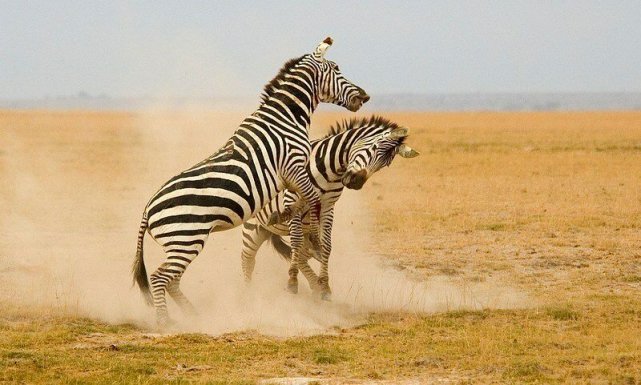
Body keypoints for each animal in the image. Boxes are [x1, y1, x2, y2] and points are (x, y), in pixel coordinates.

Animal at [132, 37, 368, 326]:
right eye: (336, 69)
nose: (364, 97)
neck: (286, 117)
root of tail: (147, 209)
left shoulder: (289, 177)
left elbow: (298, 203)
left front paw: (288, 221)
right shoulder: (294, 165)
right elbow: (311, 199)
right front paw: (313, 238)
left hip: (182, 243)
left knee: (171, 280)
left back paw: (193, 315)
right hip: (185, 239)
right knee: (159, 277)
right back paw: (166, 322)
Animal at [240, 115, 420, 298]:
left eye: (386, 164)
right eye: (374, 147)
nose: (356, 182)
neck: (330, 171)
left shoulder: (328, 207)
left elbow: (326, 246)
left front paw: (325, 286)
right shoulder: (291, 199)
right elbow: (296, 240)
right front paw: (292, 281)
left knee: (301, 255)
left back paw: (314, 285)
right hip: (253, 227)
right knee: (248, 258)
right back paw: (248, 293)